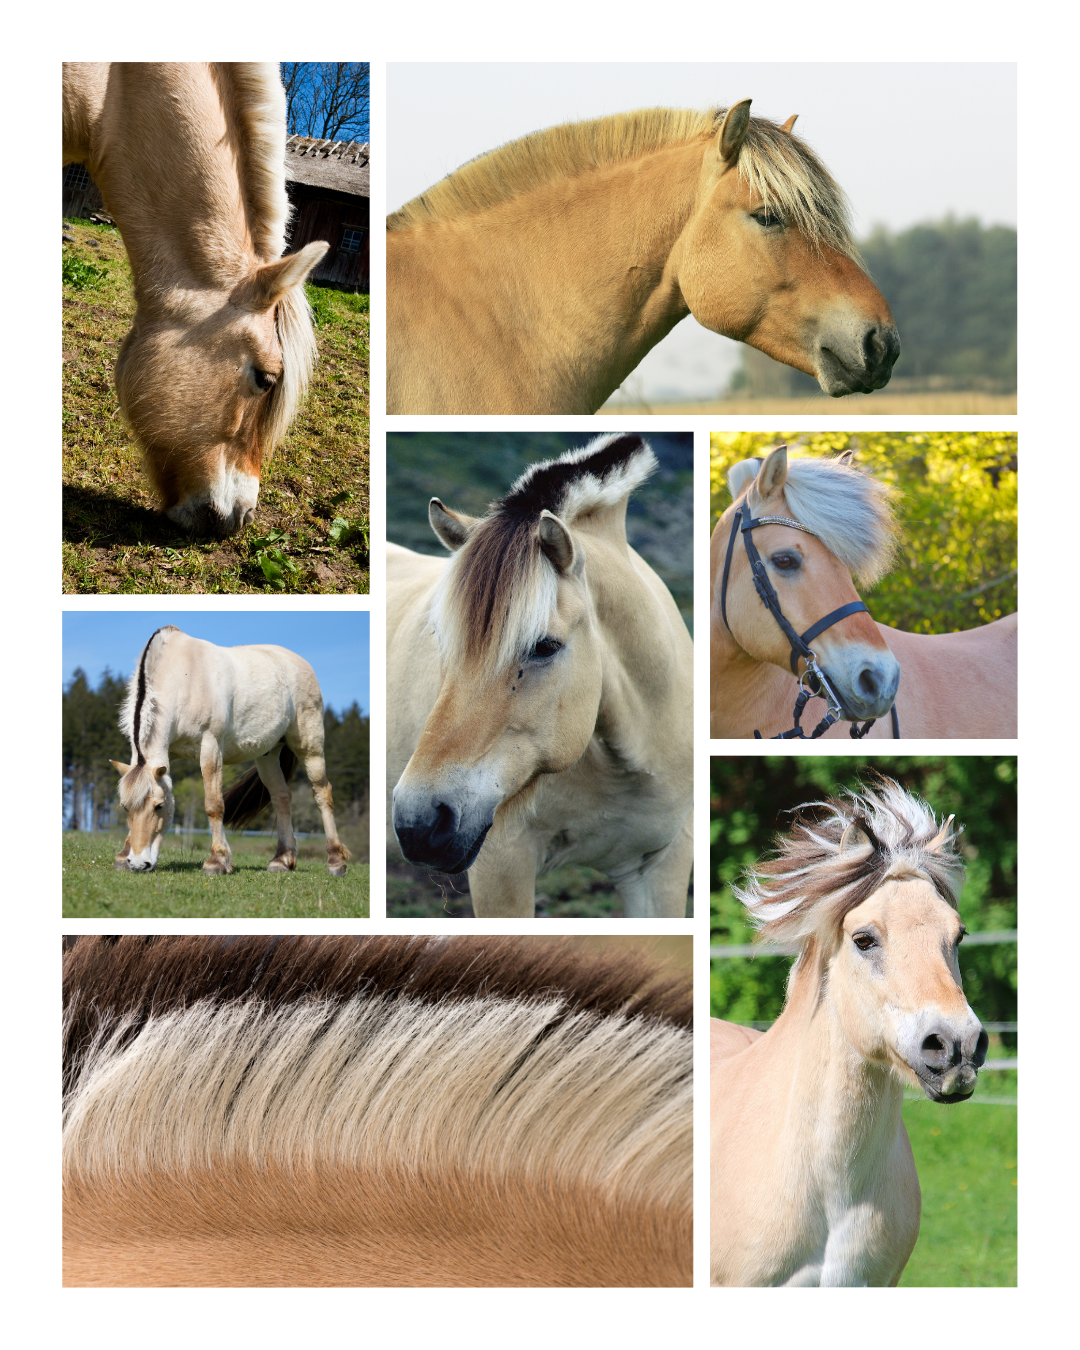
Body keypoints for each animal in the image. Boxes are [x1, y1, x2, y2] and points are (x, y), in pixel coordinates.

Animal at [110, 625, 349, 876]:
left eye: (159, 806)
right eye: (124, 807)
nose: (139, 863)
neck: (183, 676)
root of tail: (301, 663)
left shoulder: (210, 748)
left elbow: (214, 805)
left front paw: (217, 861)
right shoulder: (166, 756)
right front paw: (123, 856)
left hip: (310, 747)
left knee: (322, 794)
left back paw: (336, 861)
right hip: (268, 755)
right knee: (281, 796)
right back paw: (282, 860)